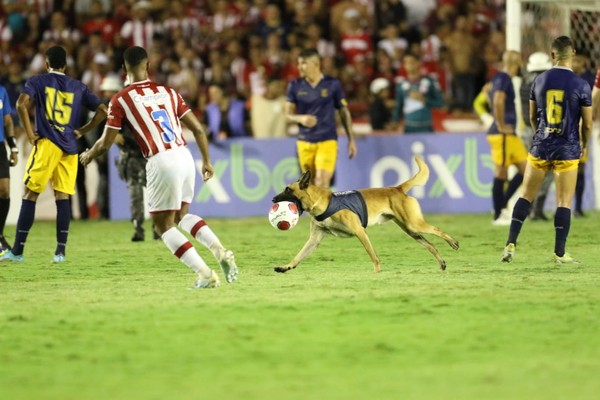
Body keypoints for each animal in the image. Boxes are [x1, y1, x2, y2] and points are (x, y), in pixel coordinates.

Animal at [272, 155, 460, 272]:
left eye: (287, 189)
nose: (273, 199)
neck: (322, 203)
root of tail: (397, 188)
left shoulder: (360, 232)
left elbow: (373, 256)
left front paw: (377, 273)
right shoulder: (314, 239)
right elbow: (299, 256)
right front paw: (286, 266)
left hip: (414, 224)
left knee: (437, 230)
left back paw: (453, 242)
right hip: (410, 230)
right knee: (431, 244)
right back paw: (442, 262)